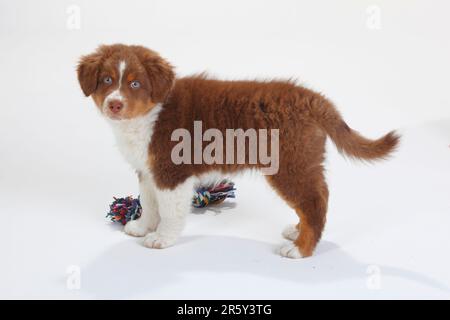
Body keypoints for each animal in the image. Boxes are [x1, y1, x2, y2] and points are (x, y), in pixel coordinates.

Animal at [77, 43, 400, 258]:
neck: (149, 114)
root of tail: (314, 100)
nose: (114, 104)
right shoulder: (148, 170)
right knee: (316, 196)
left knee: (314, 201)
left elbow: (169, 210)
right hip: (303, 161)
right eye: (107, 80)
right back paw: (297, 232)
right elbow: (149, 201)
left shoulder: (171, 172)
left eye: (135, 84)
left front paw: (161, 239)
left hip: (289, 164)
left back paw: (300, 249)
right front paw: (142, 227)